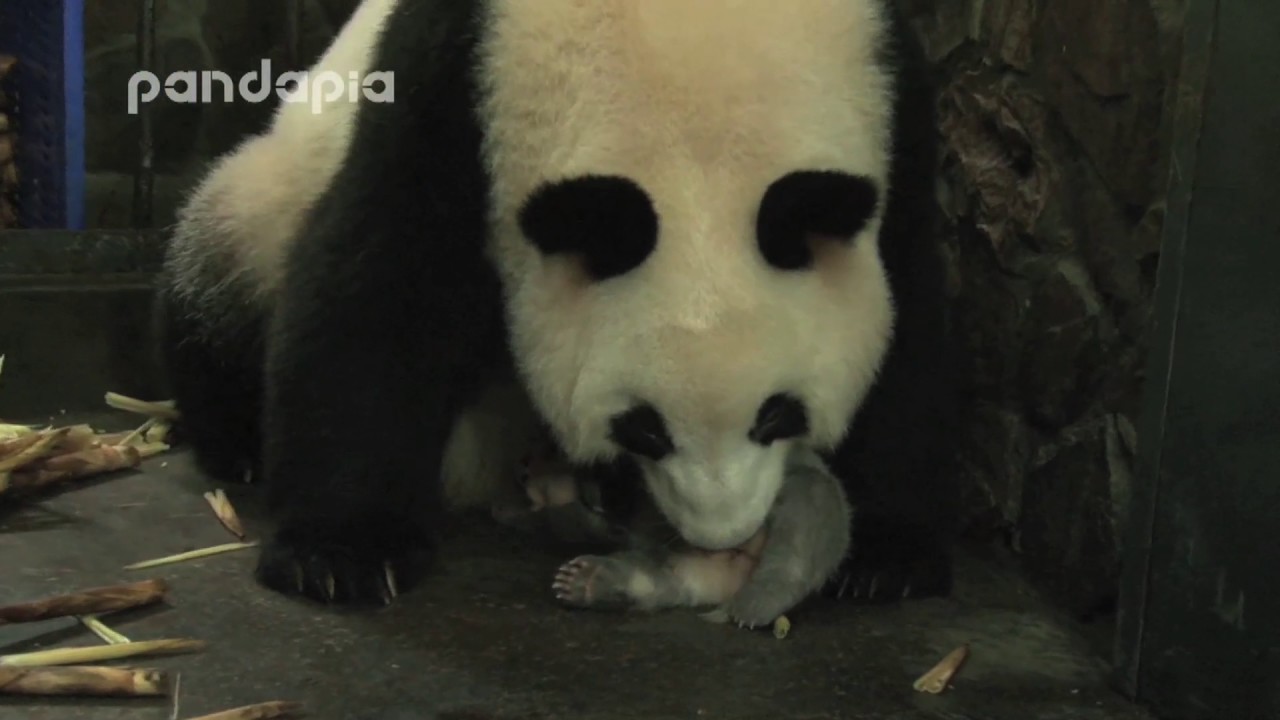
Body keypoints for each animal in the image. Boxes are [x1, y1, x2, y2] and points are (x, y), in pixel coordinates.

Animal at [155, 0, 959, 608]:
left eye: (777, 415)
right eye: (644, 429)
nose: (721, 534)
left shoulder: (891, 92)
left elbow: (910, 305)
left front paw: (885, 556)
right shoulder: (460, 82)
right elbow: (381, 271)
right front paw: (342, 554)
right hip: (263, 199)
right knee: (223, 267)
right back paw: (237, 440)